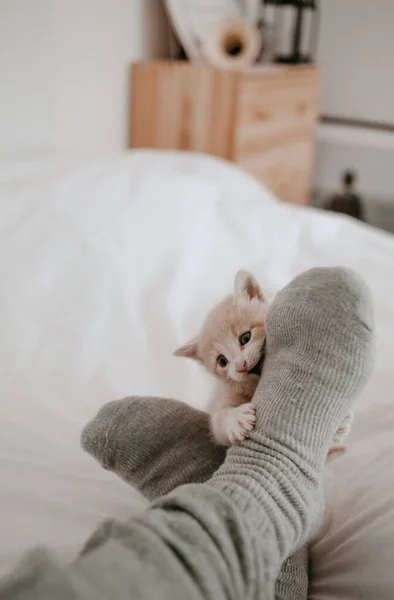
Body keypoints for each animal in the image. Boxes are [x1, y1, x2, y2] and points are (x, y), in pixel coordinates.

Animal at [174, 268, 352, 450]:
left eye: (245, 338)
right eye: (222, 361)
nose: (241, 366)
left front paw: (339, 427)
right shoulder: (222, 397)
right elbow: (219, 421)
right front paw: (236, 419)